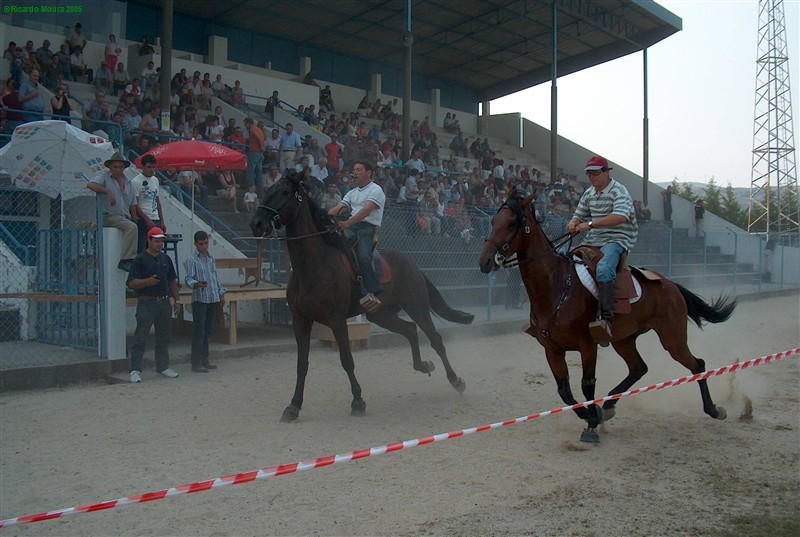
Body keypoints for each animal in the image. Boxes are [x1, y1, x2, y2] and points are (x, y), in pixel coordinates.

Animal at [252, 172, 476, 422]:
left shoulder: (337, 320)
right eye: (268, 188)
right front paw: (293, 406)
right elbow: (302, 364)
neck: (314, 265)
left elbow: (346, 360)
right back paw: (424, 365)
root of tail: (412, 264)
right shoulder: (300, 319)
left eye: (284, 192)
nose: (257, 223)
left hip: (417, 307)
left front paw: (358, 401)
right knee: (409, 330)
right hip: (380, 315)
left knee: (435, 340)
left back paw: (456, 381)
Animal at [478, 191, 736, 442]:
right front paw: (592, 415)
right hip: (624, 339)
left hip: (673, 338)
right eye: (493, 221)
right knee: (639, 368)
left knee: (697, 364)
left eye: (512, 223)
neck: (557, 285)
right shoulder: (552, 349)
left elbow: (587, 385)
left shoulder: (587, 345)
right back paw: (609, 405)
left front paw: (591, 424)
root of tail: (672, 285)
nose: (485, 260)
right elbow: (565, 391)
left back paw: (714, 409)